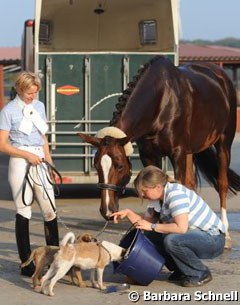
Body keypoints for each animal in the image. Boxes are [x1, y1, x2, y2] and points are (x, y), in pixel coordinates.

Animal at [78, 55, 240, 247]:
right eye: (96, 165)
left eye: (119, 166)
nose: (107, 211)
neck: (162, 101)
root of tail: (221, 75)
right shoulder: (149, 155)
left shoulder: (177, 153)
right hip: (190, 152)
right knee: (192, 184)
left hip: (224, 143)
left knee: (222, 183)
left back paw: (226, 235)